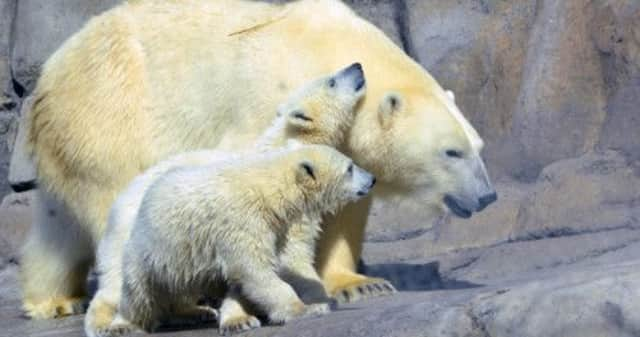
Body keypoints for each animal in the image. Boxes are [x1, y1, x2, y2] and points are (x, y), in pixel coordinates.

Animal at [22, 0, 498, 318]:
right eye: (451, 152)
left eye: (478, 146)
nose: (488, 196)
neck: (318, 48)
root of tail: (47, 78)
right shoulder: (263, 109)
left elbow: (343, 207)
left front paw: (362, 285)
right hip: (110, 118)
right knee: (116, 207)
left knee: (58, 224)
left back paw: (53, 300)